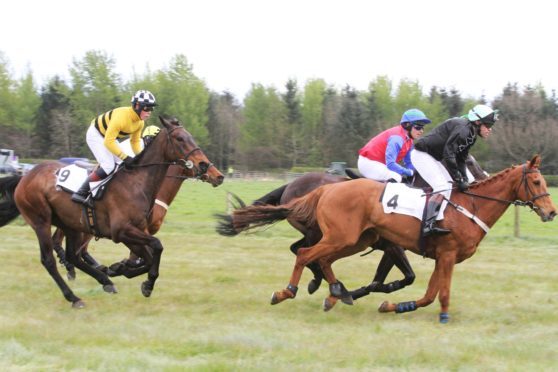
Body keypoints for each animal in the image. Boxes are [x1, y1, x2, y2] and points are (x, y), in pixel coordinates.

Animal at [0, 116, 223, 308]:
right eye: (180, 139)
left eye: (191, 137)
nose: (212, 170)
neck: (137, 182)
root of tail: (25, 176)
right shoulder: (122, 231)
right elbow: (154, 248)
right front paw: (135, 276)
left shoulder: (137, 230)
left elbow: (149, 256)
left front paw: (127, 273)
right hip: (41, 221)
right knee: (49, 260)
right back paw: (74, 297)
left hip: (73, 224)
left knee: (73, 255)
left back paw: (103, 279)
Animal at [217, 155, 556, 322]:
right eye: (537, 181)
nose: (551, 212)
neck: (470, 204)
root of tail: (325, 189)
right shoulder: (437, 253)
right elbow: (436, 292)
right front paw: (443, 316)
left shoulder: (439, 257)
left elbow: (426, 293)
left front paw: (394, 306)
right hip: (339, 237)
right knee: (304, 254)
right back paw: (288, 291)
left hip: (353, 239)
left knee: (318, 258)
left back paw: (335, 292)